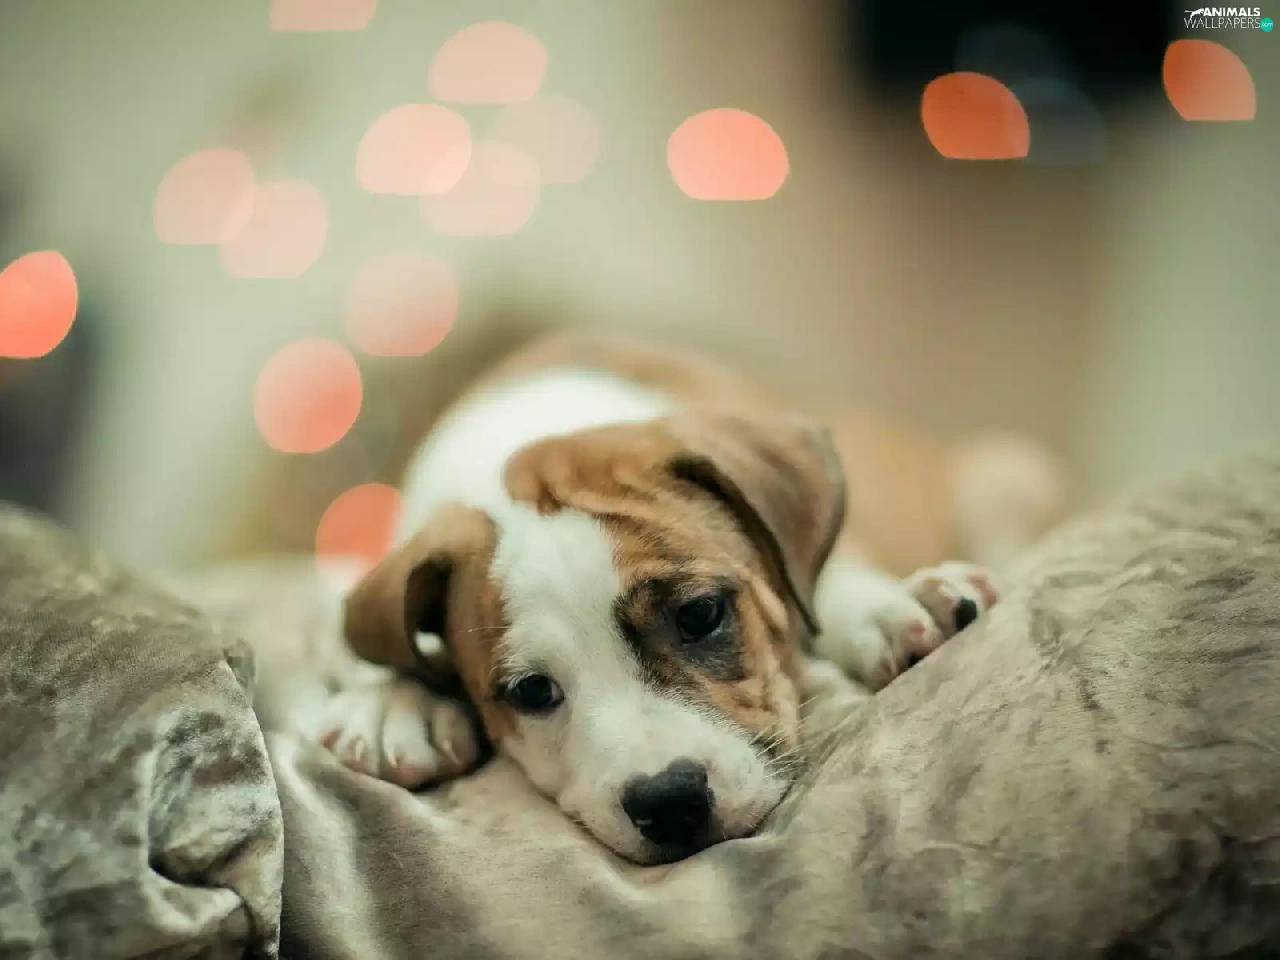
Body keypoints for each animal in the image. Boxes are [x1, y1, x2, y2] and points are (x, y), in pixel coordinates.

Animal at [313, 334, 1000, 865]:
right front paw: (395, 701)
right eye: (532, 691)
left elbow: (823, 577)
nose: (670, 804)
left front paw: (888, 608)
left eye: (699, 615)